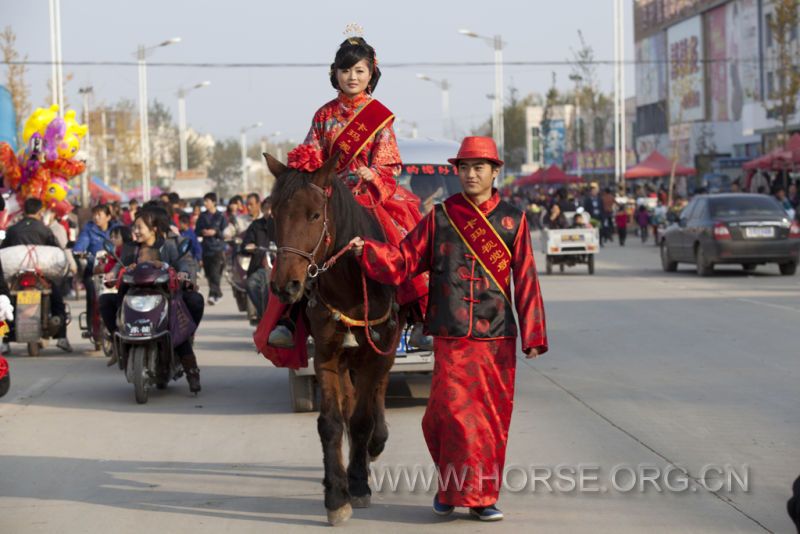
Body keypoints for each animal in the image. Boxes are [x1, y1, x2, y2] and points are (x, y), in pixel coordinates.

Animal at [266, 153, 404, 524]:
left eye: (315, 214)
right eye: (274, 214)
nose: (286, 285)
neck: (350, 286)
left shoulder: (375, 353)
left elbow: (361, 420)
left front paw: (357, 485)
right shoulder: (326, 355)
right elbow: (331, 422)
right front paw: (336, 497)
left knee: (377, 395)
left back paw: (375, 446)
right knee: (349, 403)